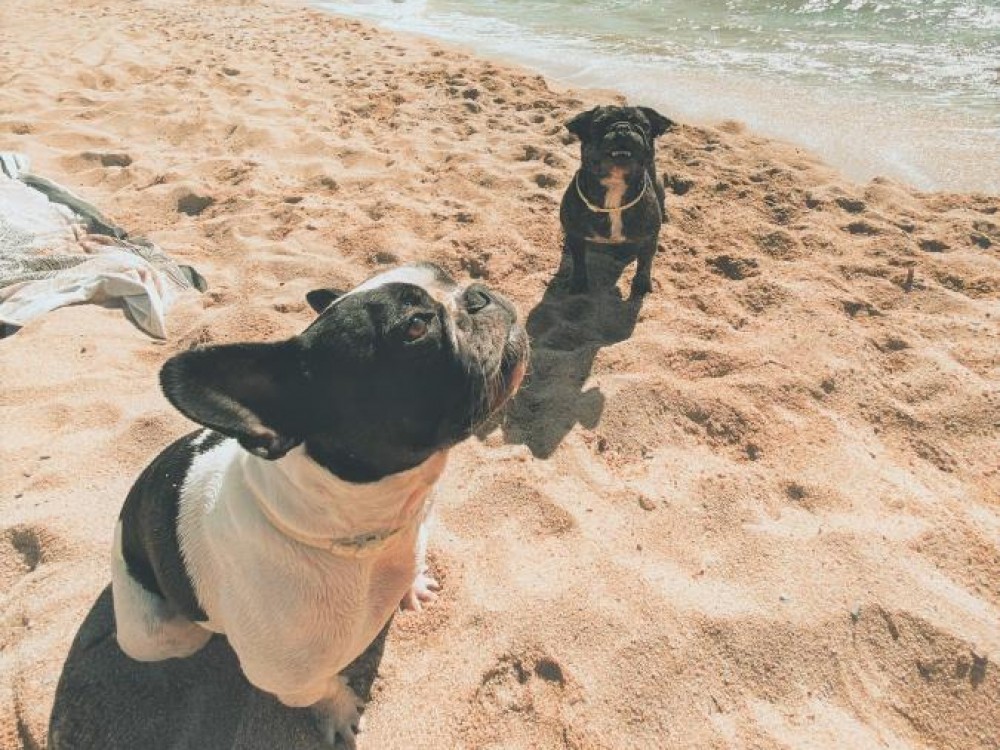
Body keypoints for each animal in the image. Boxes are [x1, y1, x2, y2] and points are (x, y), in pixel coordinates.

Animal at [111, 263, 528, 748]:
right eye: (415, 327)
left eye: (443, 274)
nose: (477, 294)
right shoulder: (288, 678)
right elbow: (322, 689)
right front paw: (341, 709)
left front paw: (414, 585)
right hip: (152, 635)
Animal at [559, 105, 675, 296]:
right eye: (599, 124)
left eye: (643, 125)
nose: (623, 127)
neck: (615, 185)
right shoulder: (576, 236)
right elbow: (579, 262)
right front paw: (578, 283)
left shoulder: (649, 237)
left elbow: (645, 263)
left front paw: (641, 285)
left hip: (658, 184)